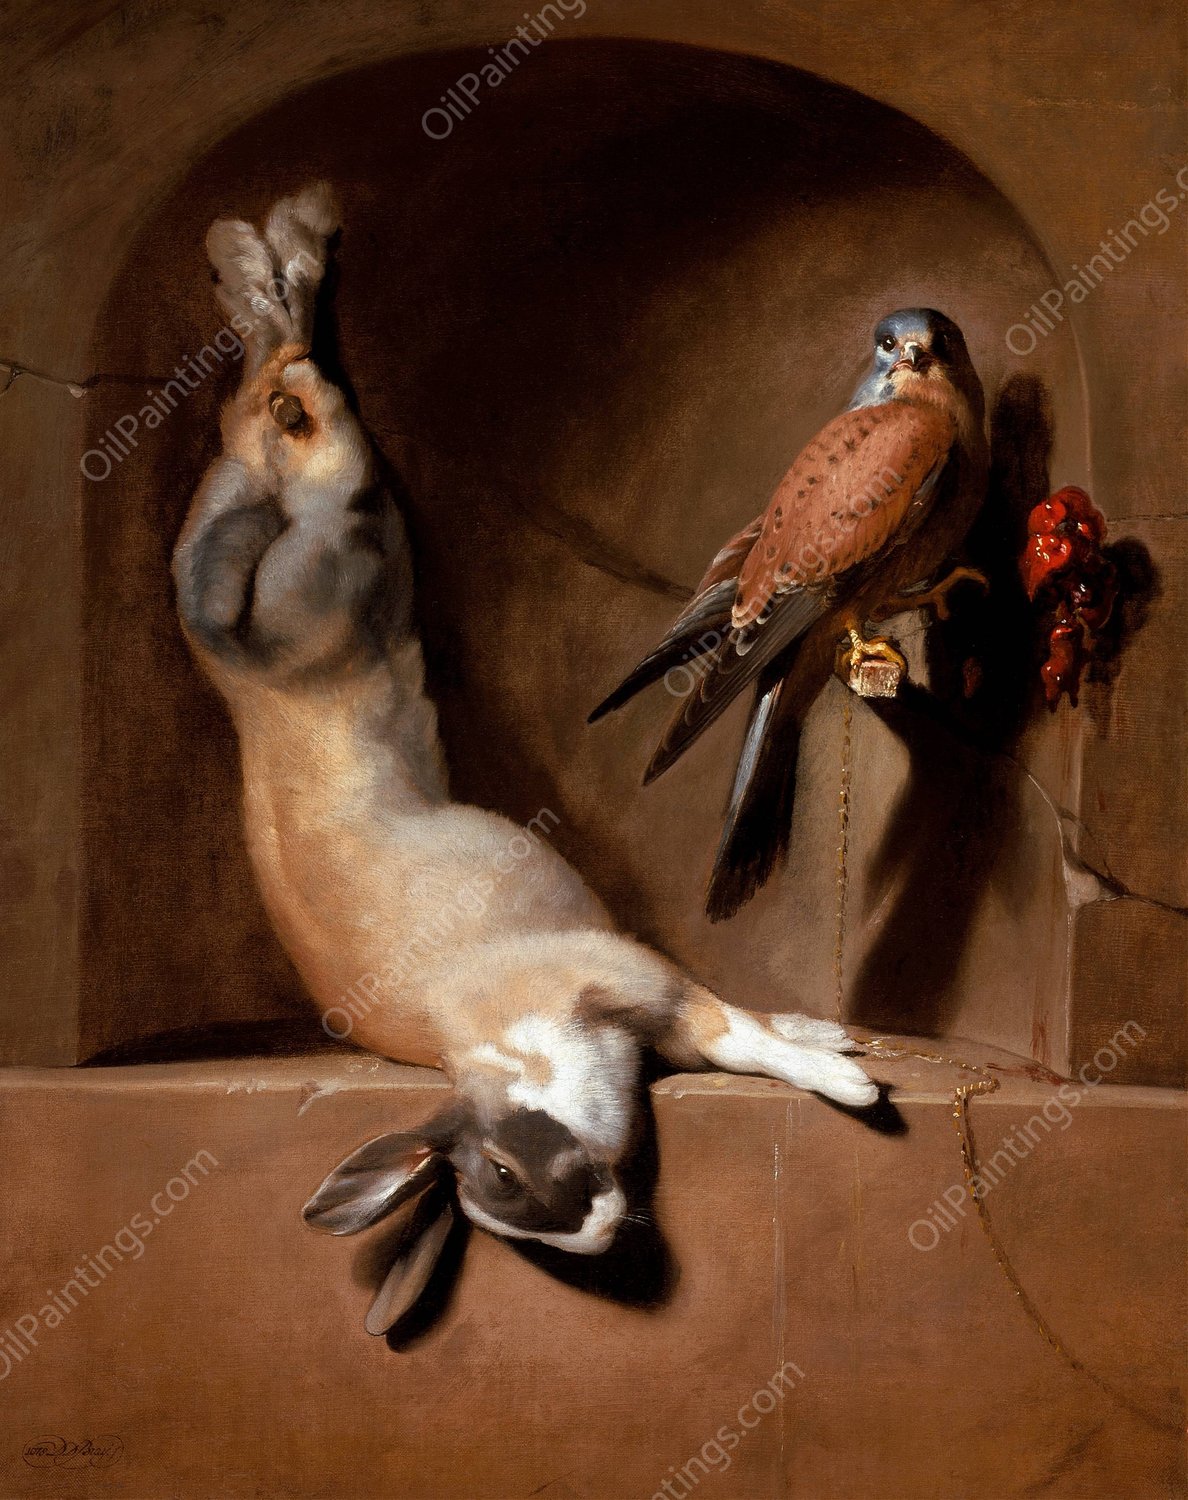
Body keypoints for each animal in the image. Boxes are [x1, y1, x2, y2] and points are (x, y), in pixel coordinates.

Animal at [174, 184, 877, 1332]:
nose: (599, 1227)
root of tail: (244, 678)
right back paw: (266, 262)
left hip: (343, 534)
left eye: (502, 1171)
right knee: (260, 414)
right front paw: (840, 1059)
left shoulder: (644, 977)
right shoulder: (660, 1007)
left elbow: (745, 1030)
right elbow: (737, 1033)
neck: (508, 1045)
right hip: (308, 536)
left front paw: (845, 1070)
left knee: (300, 410)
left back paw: (290, 254)